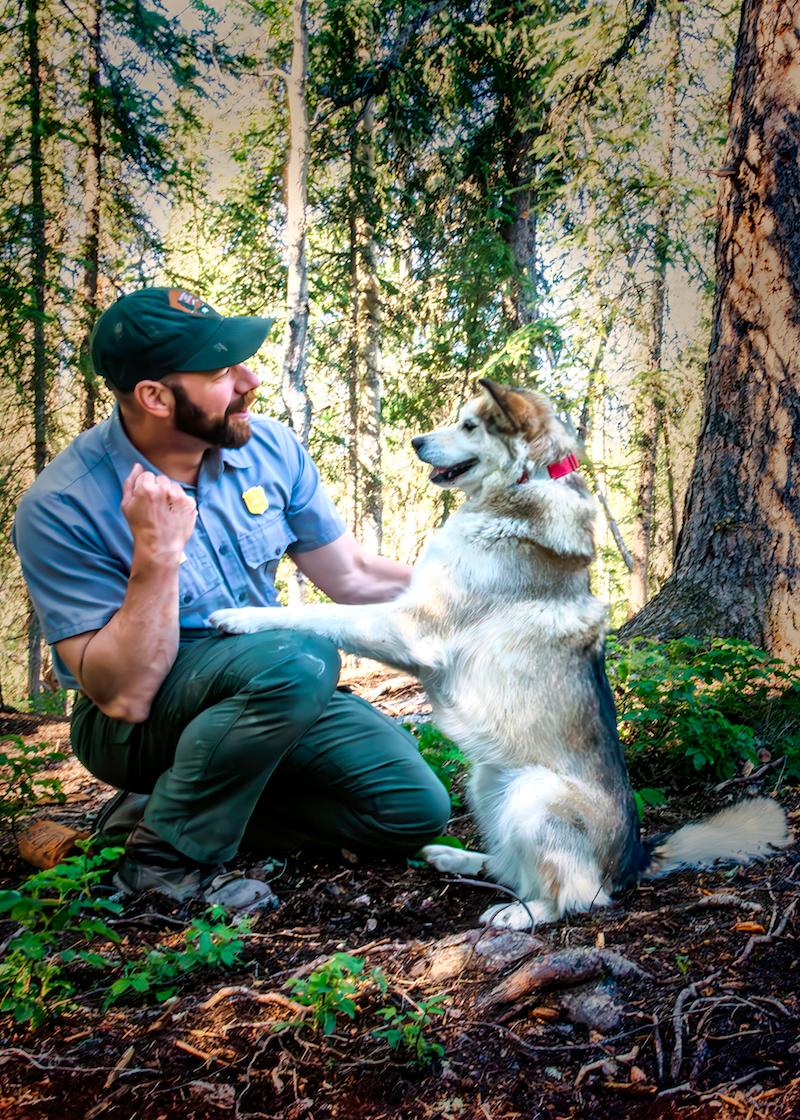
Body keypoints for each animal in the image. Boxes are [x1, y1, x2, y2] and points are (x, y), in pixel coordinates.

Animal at [208, 380, 788, 931]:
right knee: (512, 865)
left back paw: (520, 913)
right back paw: (458, 859)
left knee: (577, 897)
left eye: (469, 425)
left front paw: (240, 615)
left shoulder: (411, 627)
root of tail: (633, 860)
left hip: (534, 793)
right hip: (488, 781)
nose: (415, 441)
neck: (524, 482)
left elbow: (319, 614)